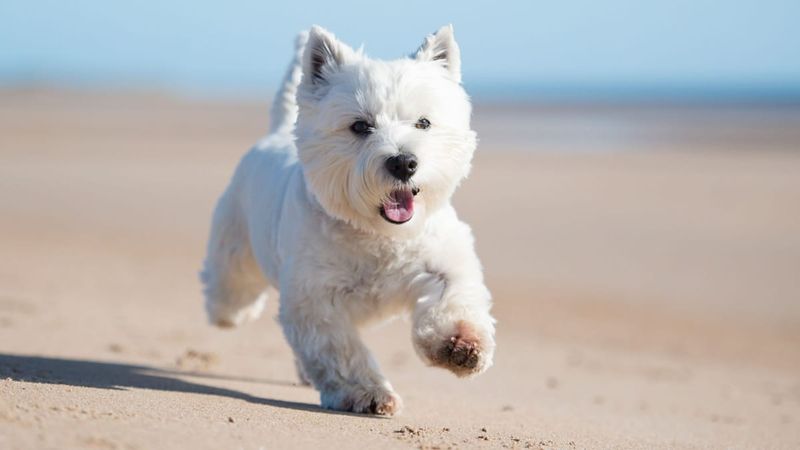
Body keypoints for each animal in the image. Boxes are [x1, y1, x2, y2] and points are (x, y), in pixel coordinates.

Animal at [200, 24, 494, 414]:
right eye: (360, 126)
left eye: (423, 122)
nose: (404, 163)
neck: (376, 233)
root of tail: (276, 133)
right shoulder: (315, 299)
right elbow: (341, 352)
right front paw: (368, 393)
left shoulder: (442, 263)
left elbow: (455, 296)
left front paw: (460, 344)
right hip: (235, 248)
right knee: (230, 286)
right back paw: (227, 313)